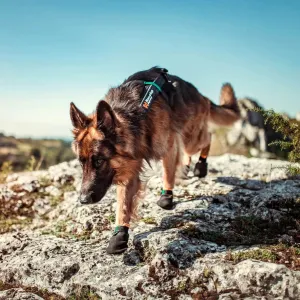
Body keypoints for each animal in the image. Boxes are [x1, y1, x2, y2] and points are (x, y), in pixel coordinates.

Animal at [68, 66, 239, 253]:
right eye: (81, 163)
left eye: (99, 161)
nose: (83, 200)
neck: (134, 116)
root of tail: (201, 95)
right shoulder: (128, 170)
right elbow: (123, 204)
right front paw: (119, 233)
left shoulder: (168, 147)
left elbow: (168, 173)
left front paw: (167, 197)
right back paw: (187, 165)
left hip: (191, 137)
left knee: (207, 137)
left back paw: (201, 166)